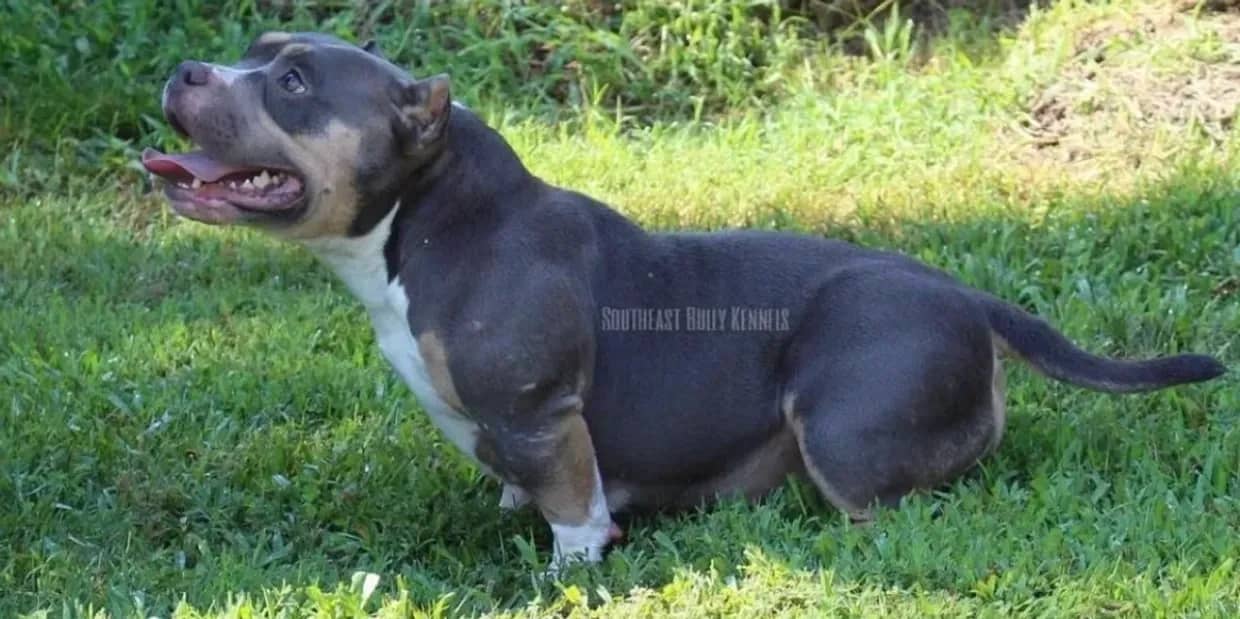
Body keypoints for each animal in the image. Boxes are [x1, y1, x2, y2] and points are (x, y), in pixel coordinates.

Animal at [140, 31, 1225, 568]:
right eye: (259, 46)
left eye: (290, 82)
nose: (186, 70)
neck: (426, 211)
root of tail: (972, 298)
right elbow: (515, 483)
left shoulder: (544, 416)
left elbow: (575, 508)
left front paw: (568, 573)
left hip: (844, 417)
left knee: (895, 506)